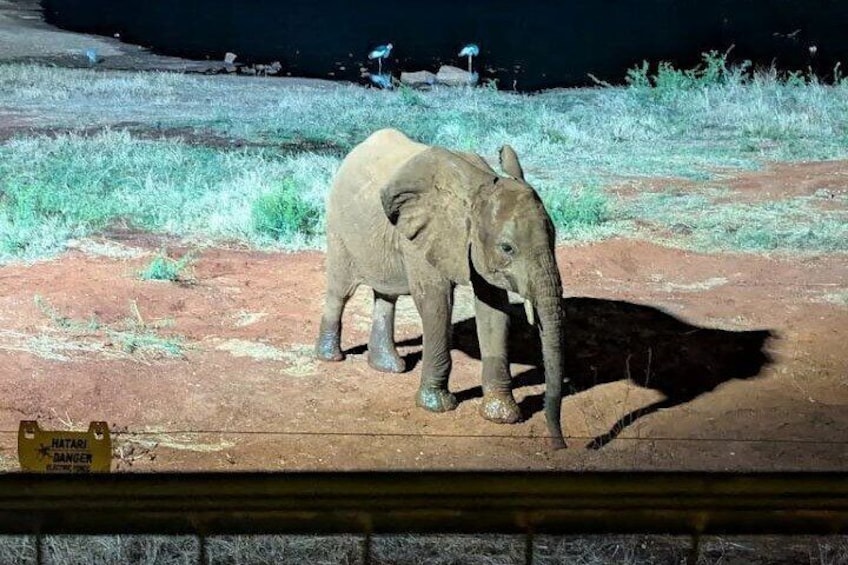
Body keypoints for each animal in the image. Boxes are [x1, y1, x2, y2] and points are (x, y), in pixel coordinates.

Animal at [314, 128, 567, 449]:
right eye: (507, 248)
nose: (560, 444)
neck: (477, 190)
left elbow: (494, 310)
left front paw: (502, 415)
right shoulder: (421, 236)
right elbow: (436, 303)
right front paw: (437, 406)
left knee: (386, 296)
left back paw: (389, 367)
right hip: (339, 227)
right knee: (340, 291)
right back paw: (331, 358)